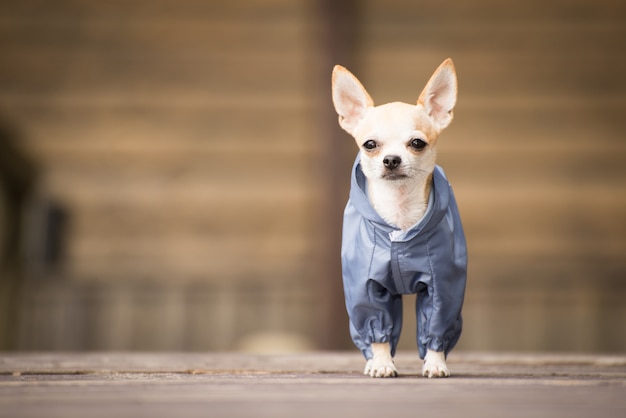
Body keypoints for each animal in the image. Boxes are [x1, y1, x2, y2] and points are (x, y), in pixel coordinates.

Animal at [332, 59, 464, 378]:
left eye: (417, 143)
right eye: (369, 144)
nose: (391, 159)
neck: (399, 214)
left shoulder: (443, 288)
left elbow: (435, 326)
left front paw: (436, 362)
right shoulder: (365, 288)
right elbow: (377, 330)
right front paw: (381, 362)